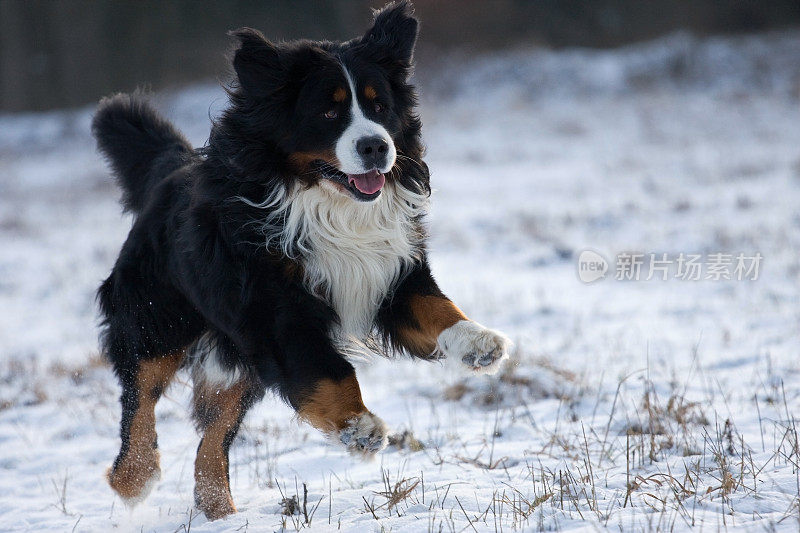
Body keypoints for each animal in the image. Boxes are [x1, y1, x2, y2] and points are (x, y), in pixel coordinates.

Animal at [92, 0, 506, 516]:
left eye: (380, 106)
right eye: (328, 111)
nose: (376, 145)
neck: (331, 206)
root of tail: (170, 171)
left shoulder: (390, 273)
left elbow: (436, 307)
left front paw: (479, 343)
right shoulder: (274, 306)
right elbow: (329, 368)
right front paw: (359, 427)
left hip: (241, 360)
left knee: (214, 435)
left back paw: (220, 512)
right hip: (160, 316)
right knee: (141, 391)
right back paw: (133, 477)